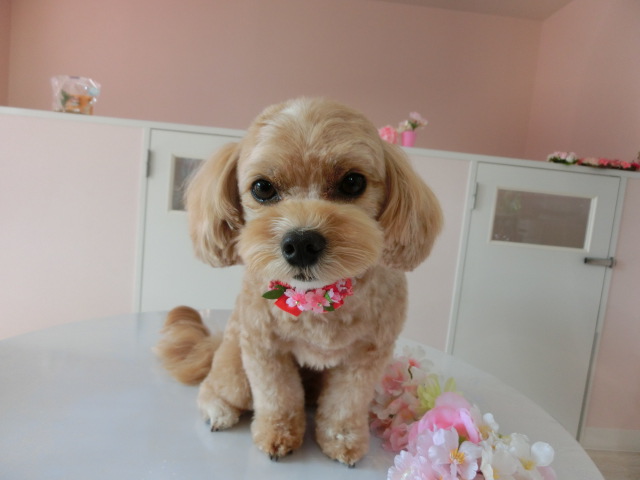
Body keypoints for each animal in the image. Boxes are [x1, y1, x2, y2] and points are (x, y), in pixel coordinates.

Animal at [155, 98, 442, 466]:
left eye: (353, 182)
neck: (318, 297)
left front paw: (342, 440)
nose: (302, 243)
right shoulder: (264, 348)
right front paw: (277, 435)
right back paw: (218, 410)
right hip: (235, 362)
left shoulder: (366, 356)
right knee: (217, 387)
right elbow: (278, 396)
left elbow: (346, 402)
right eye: (262, 187)